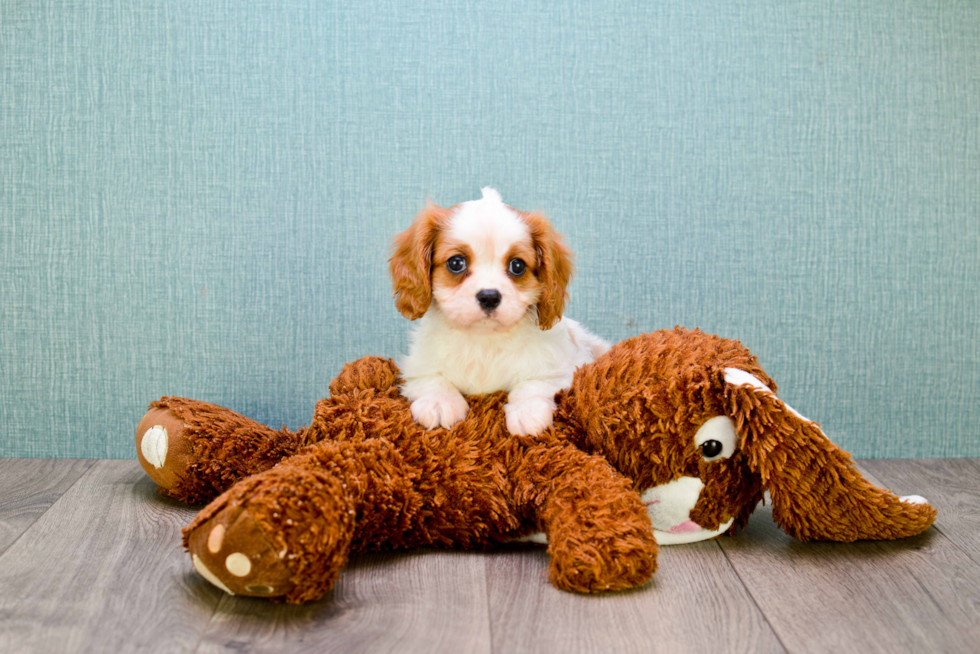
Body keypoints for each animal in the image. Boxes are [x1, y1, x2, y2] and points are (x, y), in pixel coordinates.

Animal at [388, 188, 604, 436]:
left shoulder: (563, 369)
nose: (489, 296)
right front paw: (439, 401)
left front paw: (527, 411)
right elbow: (433, 379)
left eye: (517, 266)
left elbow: (531, 385)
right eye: (456, 263)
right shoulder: (417, 367)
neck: (484, 340)